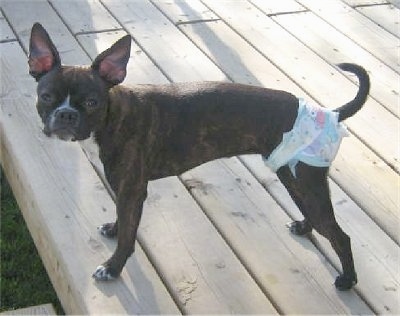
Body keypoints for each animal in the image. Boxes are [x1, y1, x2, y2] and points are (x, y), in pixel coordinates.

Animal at [29, 21, 370, 288]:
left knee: (340, 236)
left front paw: (112, 267)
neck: (114, 115)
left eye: (91, 103)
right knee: (315, 214)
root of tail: (329, 112)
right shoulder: (125, 192)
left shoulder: (133, 190)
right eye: (46, 97)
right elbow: (122, 220)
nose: (65, 115)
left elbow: (128, 236)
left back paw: (348, 280)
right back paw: (303, 227)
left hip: (305, 181)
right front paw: (113, 228)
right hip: (294, 176)